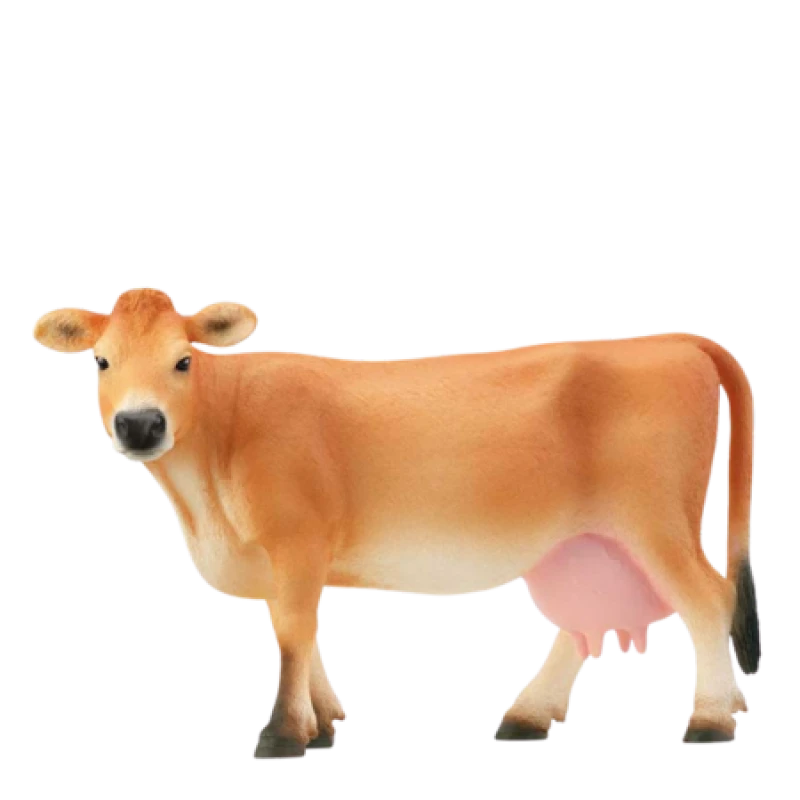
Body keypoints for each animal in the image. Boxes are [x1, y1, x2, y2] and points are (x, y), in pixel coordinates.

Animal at [32, 288, 759, 757]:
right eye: (100, 362)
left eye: (183, 360)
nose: (139, 423)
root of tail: (663, 342)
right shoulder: (284, 559)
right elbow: (303, 635)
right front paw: (325, 721)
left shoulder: (296, 540)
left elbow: (292, 635)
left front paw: (283, 736)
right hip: (586, 536)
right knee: (592, 615)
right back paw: (530, 714)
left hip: (655, 516)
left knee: (706, 598)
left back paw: (712, 719)